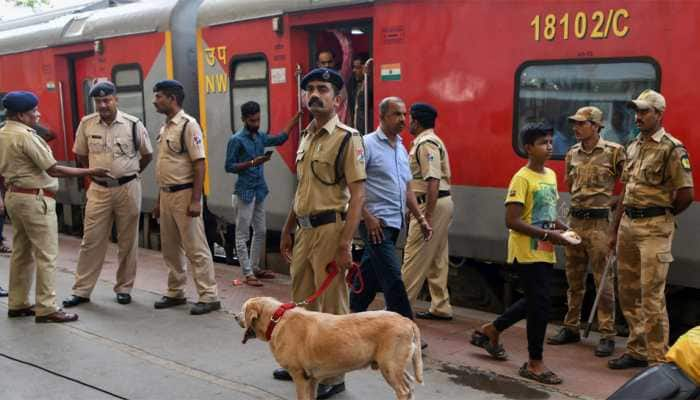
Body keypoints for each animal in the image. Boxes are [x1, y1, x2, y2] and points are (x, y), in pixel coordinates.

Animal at [237, 296, 422, 398]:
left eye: (242, 309)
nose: (235, 317)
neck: (276, 320)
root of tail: (407, 321)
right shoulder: (311, 379)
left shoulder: (299, 375)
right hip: (394, 365)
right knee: (410, 385)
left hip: (389, 366)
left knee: (404, 391)